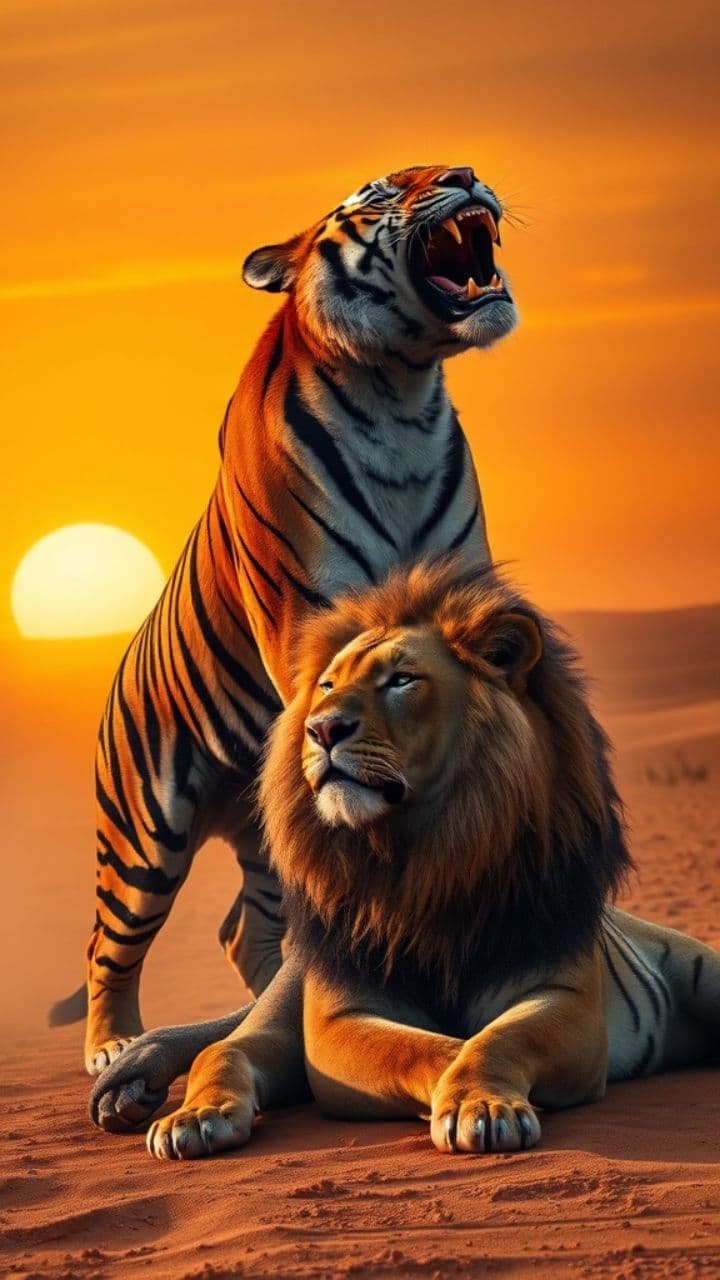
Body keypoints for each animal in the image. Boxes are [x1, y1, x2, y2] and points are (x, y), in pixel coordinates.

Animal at [49, 165, 519, 1077]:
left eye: (448, 169)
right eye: (382, 189)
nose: (466, 175)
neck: (402, 394)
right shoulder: (310, 628)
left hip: (255, 828)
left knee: (245, 926)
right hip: (143, 839)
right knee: (105, 945)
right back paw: (114, 1045)